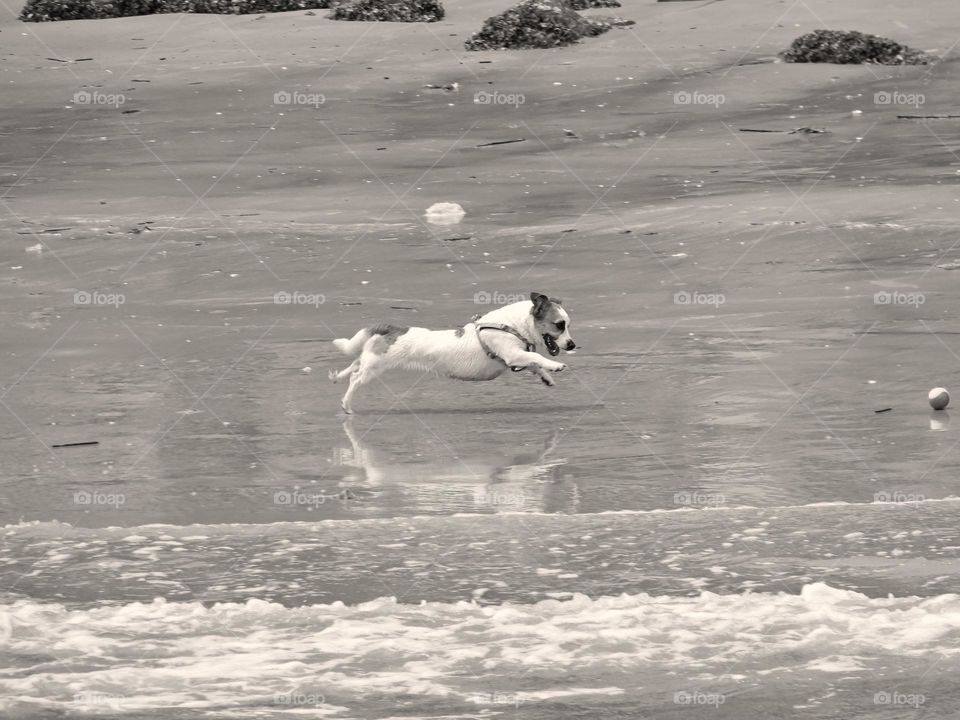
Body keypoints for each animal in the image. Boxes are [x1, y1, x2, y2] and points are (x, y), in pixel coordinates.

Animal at [330, 292, 572, 414]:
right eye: (559, 325)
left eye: (567, 324)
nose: (572, 345)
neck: (511, 325)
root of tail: (392, 328)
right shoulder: (513, 355)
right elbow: (537, 358)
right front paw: (555, 366)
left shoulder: (517, 357)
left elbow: (534, 364)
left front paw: (546, 377)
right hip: (374, 368)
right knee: (355, 378)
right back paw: (346, 404)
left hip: (369, 360)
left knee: (353, 365)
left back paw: (336, 376)